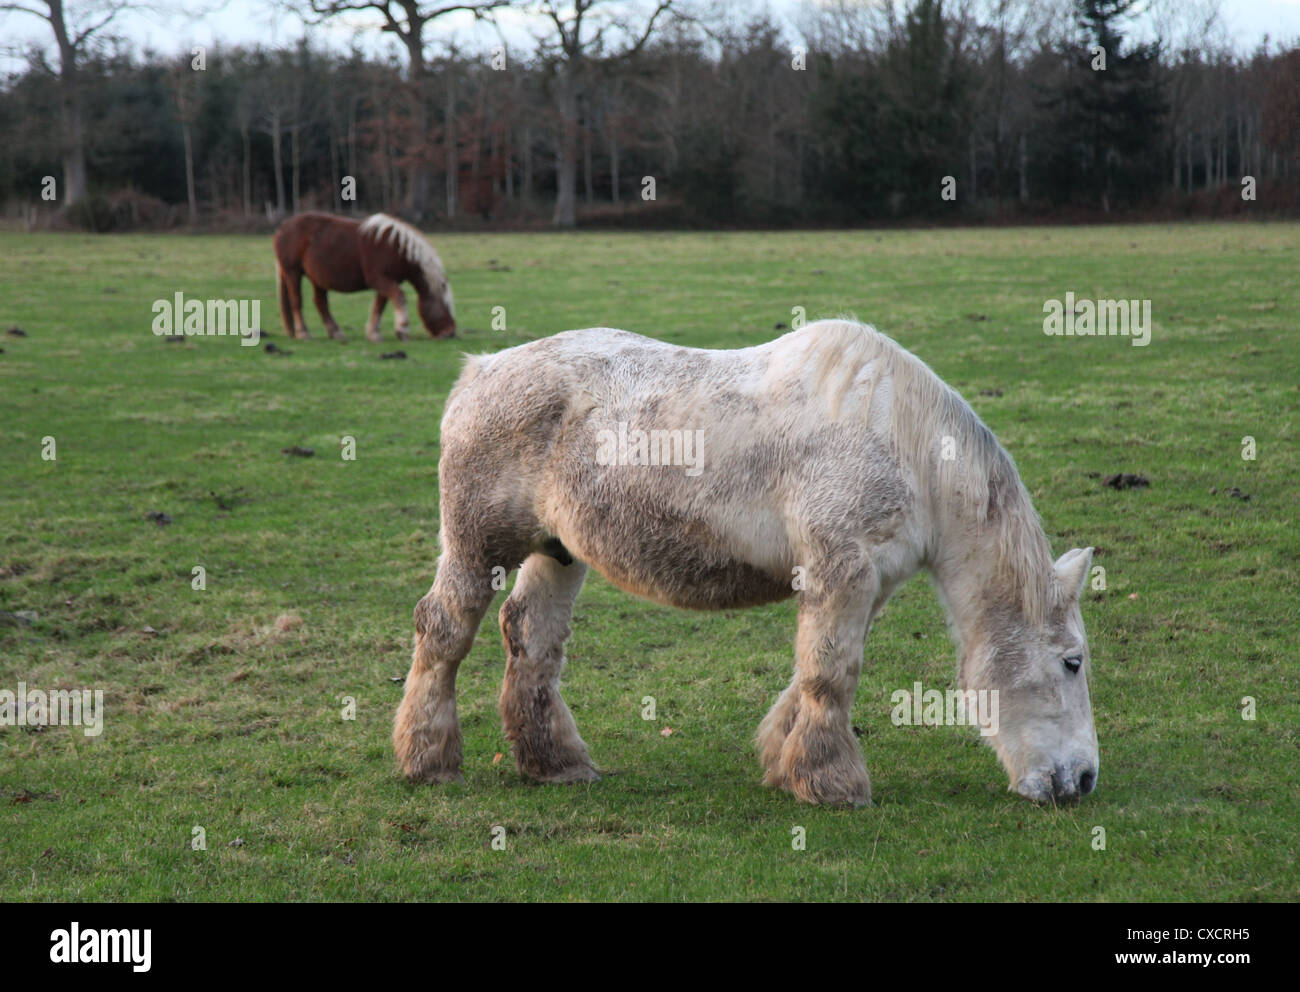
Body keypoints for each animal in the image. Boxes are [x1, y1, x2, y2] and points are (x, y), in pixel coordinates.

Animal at [274, 211, 457, 343]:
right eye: (445, 306)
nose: (450, 333)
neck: (398, 248)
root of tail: (282, 228)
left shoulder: (385, 282)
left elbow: (380, 306)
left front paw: (373, 333)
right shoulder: (379, 280)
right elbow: (399, 297)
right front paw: (402, 329)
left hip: (317, 279)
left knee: (321, 303)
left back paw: (336, 333)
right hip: (292, 272)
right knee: (297, 302)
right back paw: (303, 333)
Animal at [392, 318, 1097, 806]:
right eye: (1072, 662)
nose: (1084, 778)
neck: (906, 443)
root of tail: (480, 372)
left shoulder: (866, 584)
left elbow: (812, 672)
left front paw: (789, 765)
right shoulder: (842, 571)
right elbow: (831, 674)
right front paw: (834, 784)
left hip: (557, 552)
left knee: (531, 639)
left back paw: (556, 765)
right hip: (478, 547)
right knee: (444, 630)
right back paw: (429, 762)